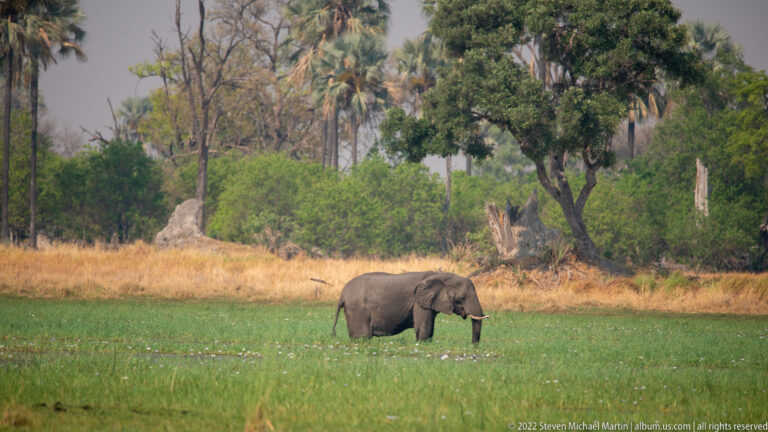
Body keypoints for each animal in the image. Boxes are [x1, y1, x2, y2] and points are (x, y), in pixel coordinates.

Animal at [332, 271, 489, 343]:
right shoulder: (418, 302)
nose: (473, 346)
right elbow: (424, 328)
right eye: (461, 299)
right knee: (363, 335)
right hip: (357, 309)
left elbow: (430, 328)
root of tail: (342, 294)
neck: (441, 275)